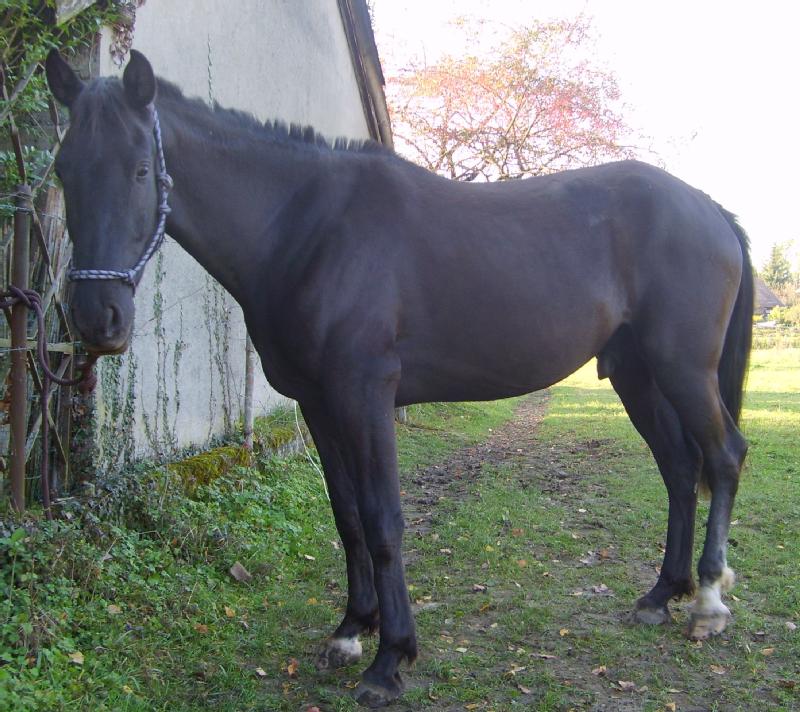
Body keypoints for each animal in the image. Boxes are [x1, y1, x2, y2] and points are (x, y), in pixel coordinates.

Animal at [46, 49, 752, 707]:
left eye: (141, 169)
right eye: (61, 170)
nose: (96, 318)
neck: (305, 227)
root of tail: (709, 208)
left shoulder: (365, 394)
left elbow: (384, 520)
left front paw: (391, 661)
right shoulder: (318, 404)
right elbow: (348, 516)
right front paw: (350, 630)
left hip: (682, 368)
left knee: (722, 457)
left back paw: (708, 603)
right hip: (638, 374)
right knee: (679, 468)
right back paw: (660, 595)